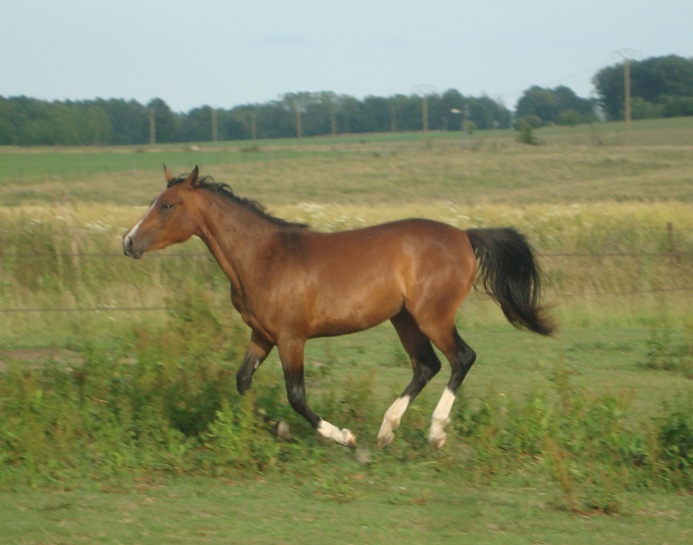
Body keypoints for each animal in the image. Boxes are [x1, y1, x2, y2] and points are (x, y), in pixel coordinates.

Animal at [124, 167, 556, 450]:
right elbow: (243, 381)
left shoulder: (291, 338)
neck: (263, 257)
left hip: (432, 316)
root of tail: (465, 235)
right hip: (404, 318)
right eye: (154, 202)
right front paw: (279, 429)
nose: (128, 242)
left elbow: (296, 394)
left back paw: (434, 433)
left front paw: (342, 436)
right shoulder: (262, 334)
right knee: (426, 365)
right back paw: (386, 430)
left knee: (461, 358)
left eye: (168, 205)